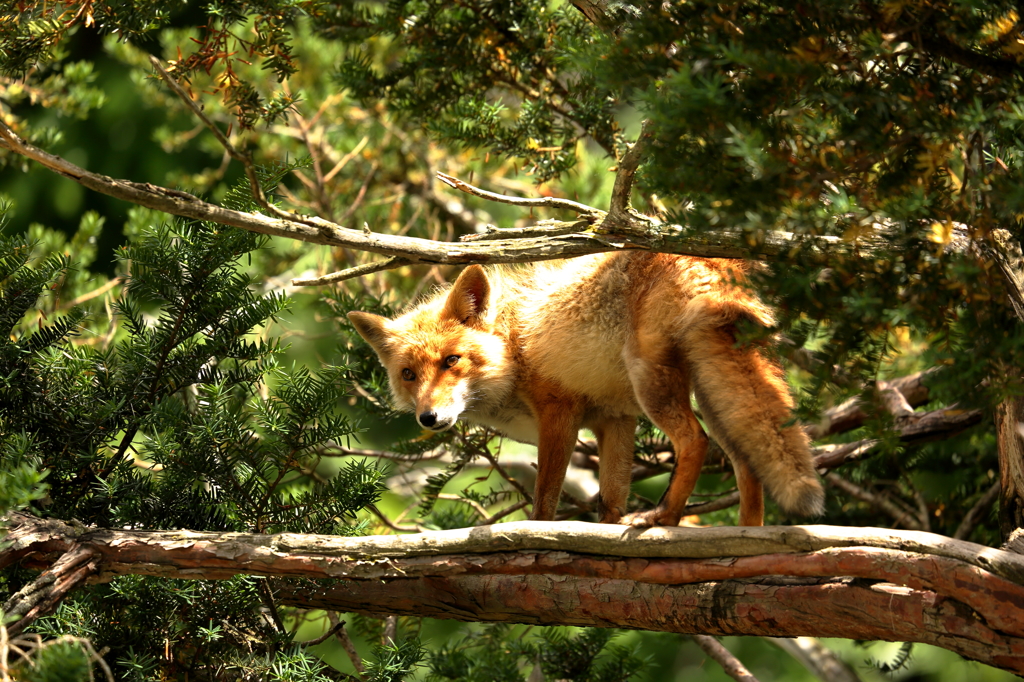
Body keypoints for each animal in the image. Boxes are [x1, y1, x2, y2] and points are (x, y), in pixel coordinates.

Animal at [348, 250, 827, 524]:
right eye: (408, 375)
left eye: (452, 361)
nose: (429, 418)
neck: (513, 346)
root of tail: (712, 260)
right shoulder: (614, 420)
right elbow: (610, 502)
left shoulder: (560, 414)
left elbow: (544, 503)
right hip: (711, 392)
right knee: (746, 461)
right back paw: (749, 532)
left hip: (653, 382)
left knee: (696, 443)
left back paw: (664, 517)